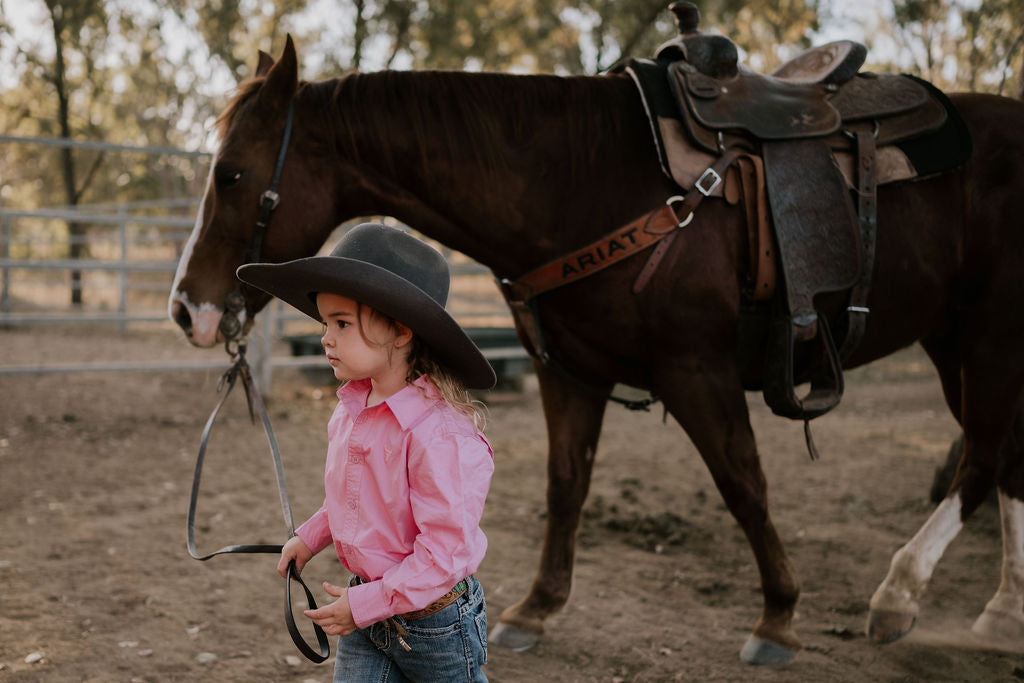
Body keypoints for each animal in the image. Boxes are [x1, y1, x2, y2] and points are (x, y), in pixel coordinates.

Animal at [169, 36, 1024, 663]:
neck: (585, 181)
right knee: (1004, 460)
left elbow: (743, 484)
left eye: (232, 173)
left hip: (989, 334)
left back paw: (900, 593)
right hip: (953, 337)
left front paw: (778, 614)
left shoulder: (695, 369)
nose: (186, 308)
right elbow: (565, 484)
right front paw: (536, 607)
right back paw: (998, 610)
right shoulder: (570, 373)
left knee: (983, 456)